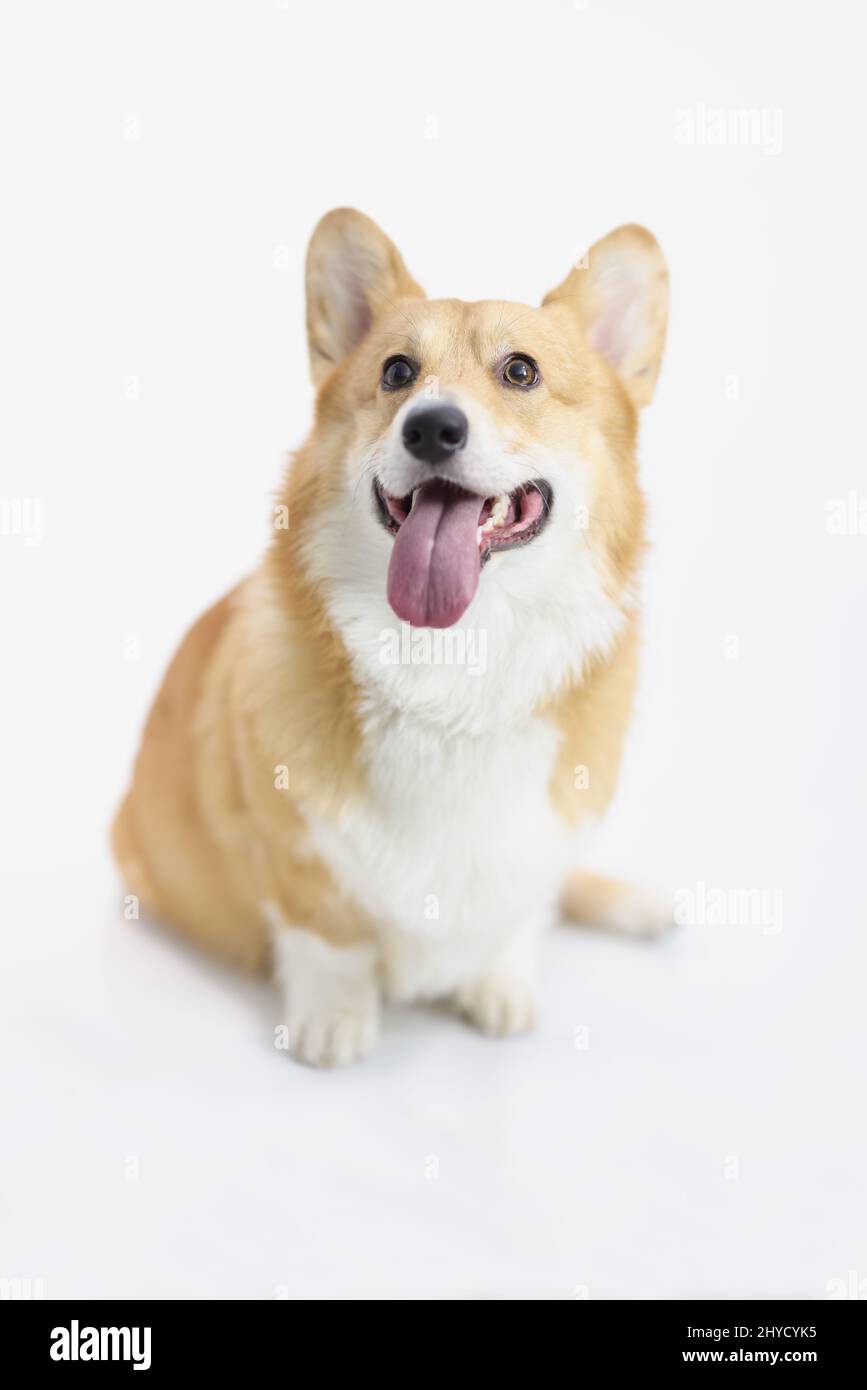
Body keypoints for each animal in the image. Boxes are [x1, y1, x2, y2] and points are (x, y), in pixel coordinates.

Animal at [113, 211, 669, 1067]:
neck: (455, 662)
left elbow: (518, 914)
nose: (432, 426)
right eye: (397, 371)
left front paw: (499, 984)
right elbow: (330, 939)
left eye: (520, 372)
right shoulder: (296, 856)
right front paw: (334, 1020)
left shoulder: (540, 841)